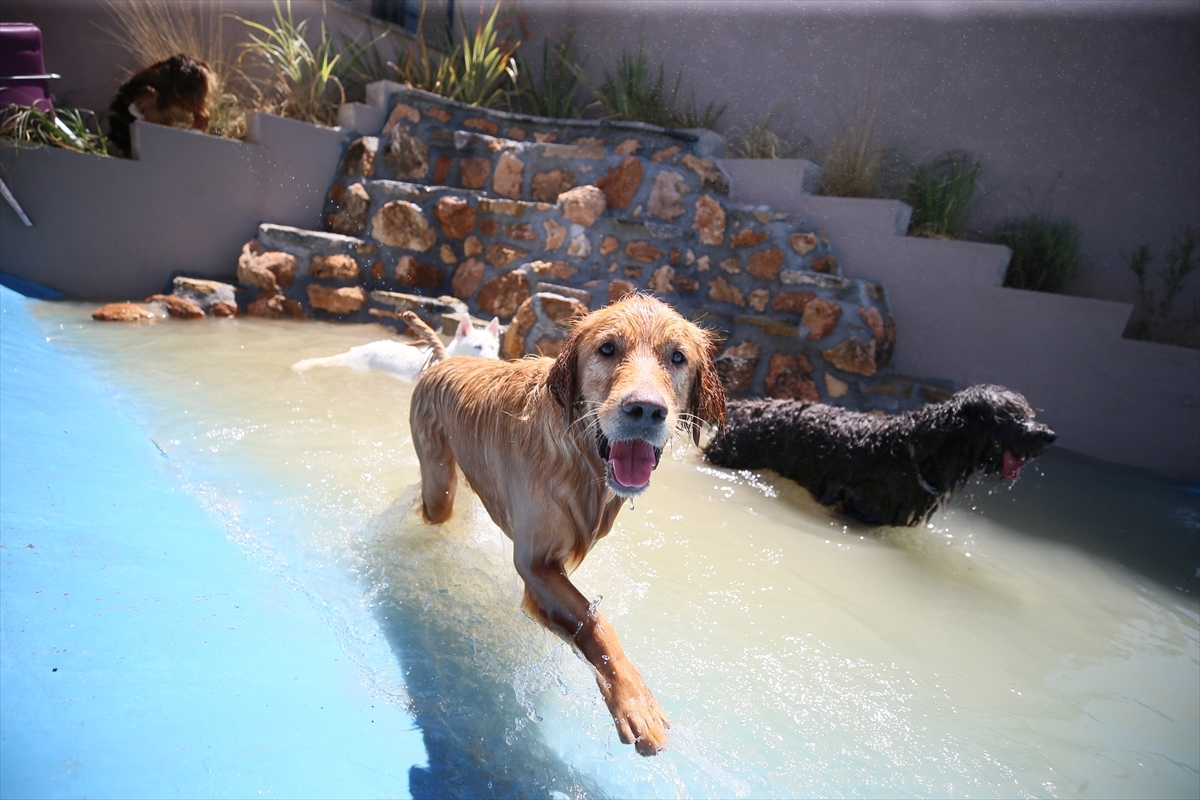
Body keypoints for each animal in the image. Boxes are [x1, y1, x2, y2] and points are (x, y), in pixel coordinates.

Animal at [408, 296, 724, 758]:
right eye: (607, 349)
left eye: (678, 357)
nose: (646, 409)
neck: (581, 455)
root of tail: (447, 360)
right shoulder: (535, 563)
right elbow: (596, 624)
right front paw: (636, 703)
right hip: (437, 486)